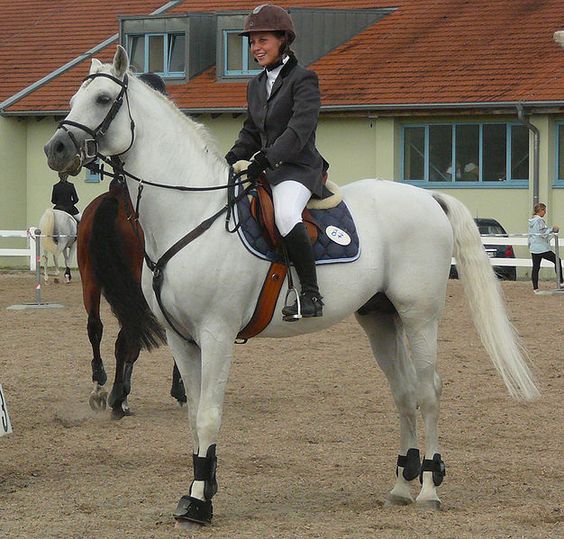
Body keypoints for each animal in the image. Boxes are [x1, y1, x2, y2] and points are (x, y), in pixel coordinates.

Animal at [75, 179, 184, 420]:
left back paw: (101, 385)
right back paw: (119, 396)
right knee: (127, 338)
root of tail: (116, 197)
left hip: (90, 278)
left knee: (95, 327)